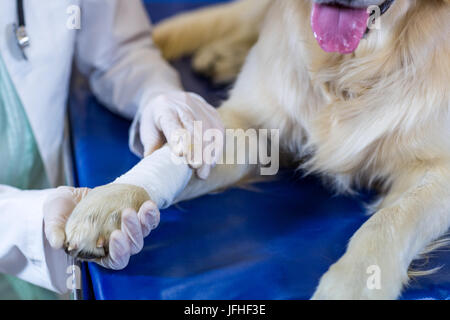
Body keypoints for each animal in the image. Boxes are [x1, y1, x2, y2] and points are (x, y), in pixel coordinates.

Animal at [65, 0, 448, 300]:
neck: (349, 69)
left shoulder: (438, 174)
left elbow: (388, 220)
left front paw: (356, 284)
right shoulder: (250, 125)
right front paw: (110, 204)